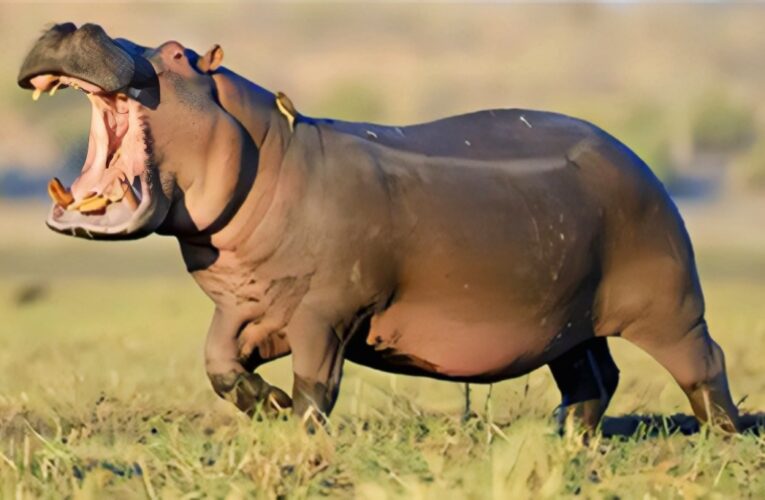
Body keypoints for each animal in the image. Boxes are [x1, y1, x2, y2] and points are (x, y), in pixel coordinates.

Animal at [17, 23, 740, 432]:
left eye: (174, 53)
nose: (75, 19)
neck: (268, 150)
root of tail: (636, 157)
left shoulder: (326, 310)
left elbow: (317, 383)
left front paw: (300, 433)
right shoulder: (247, 306)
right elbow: (218, 364)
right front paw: (268, 408)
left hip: (670, 302)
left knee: (704, 363)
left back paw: (722, 437)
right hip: (568, 315)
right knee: (593, 376)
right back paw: (562, 436)